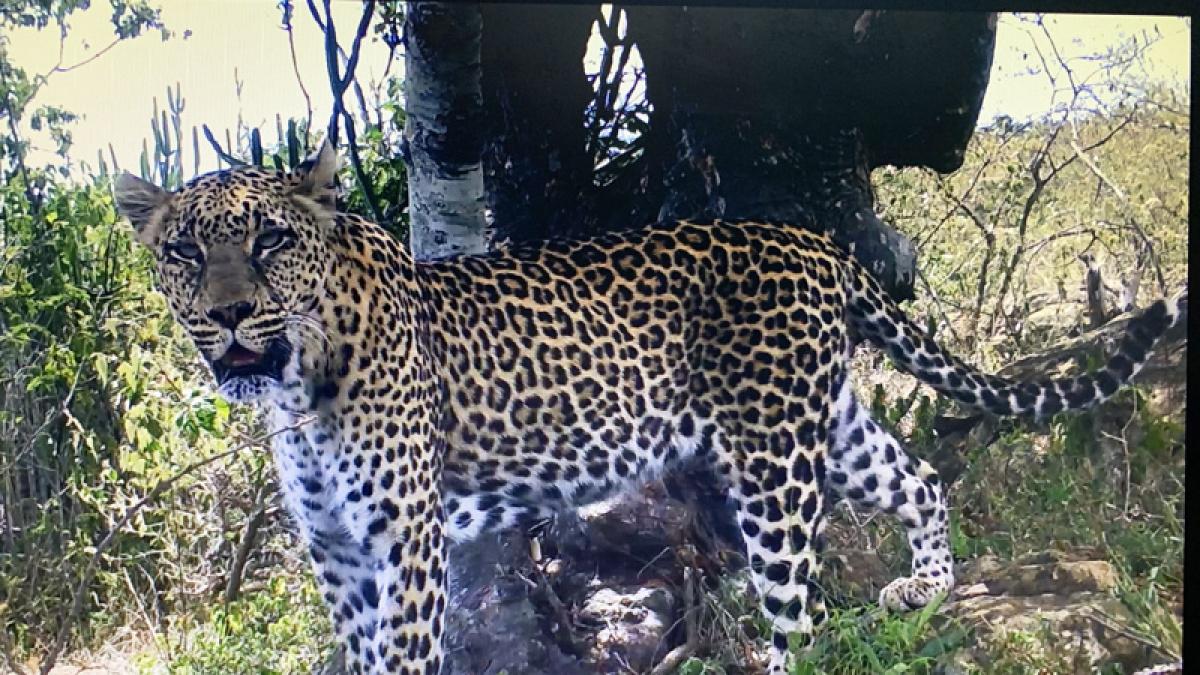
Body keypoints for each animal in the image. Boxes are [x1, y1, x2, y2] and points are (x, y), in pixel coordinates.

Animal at [117, 139, 1185, 667]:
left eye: (268, 240)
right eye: (184, 250)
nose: (229, 314)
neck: (298, 384)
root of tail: (815, 241)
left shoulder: (402, 544)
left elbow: (404, 657)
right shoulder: (337, 552)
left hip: (773, 470)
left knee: (802, 620)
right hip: (827, 424)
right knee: (919, 476)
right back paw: (924, 587)